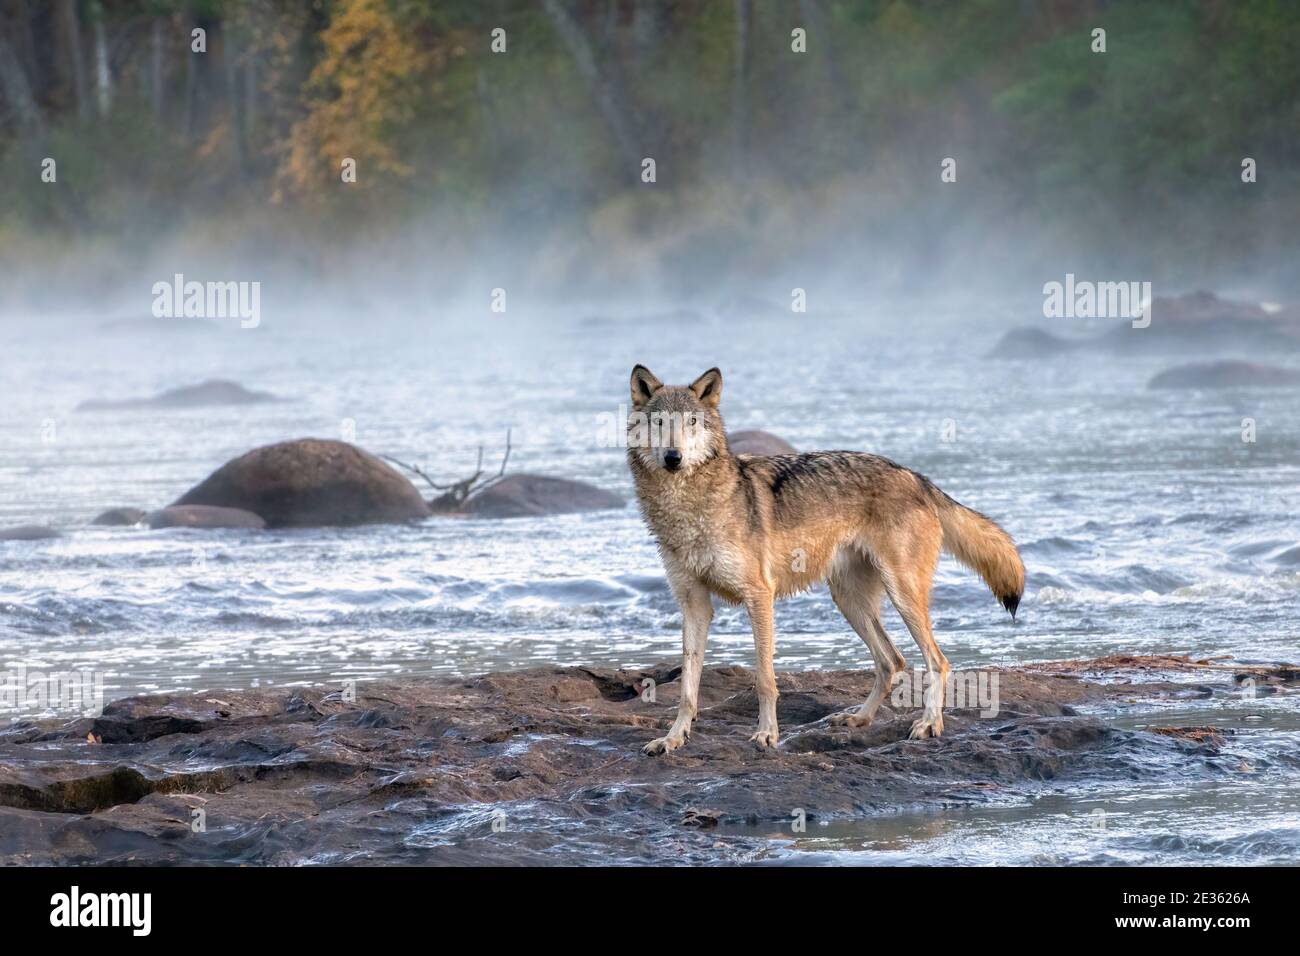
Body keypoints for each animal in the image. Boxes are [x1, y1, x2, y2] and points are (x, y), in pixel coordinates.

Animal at [626, 365, 1024, 755]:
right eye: (659, 422)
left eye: (691, 421)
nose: (673, 457)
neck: (690, 507)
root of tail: (917, 477)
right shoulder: (694, 604)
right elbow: (688, 689)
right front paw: (673, 738)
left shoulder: (759, 596)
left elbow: (765, 680)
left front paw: (767, 734)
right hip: (848, 600)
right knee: (891, 661)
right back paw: (859, 719)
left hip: (902, 595)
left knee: (937, 661)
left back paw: (929, 724)